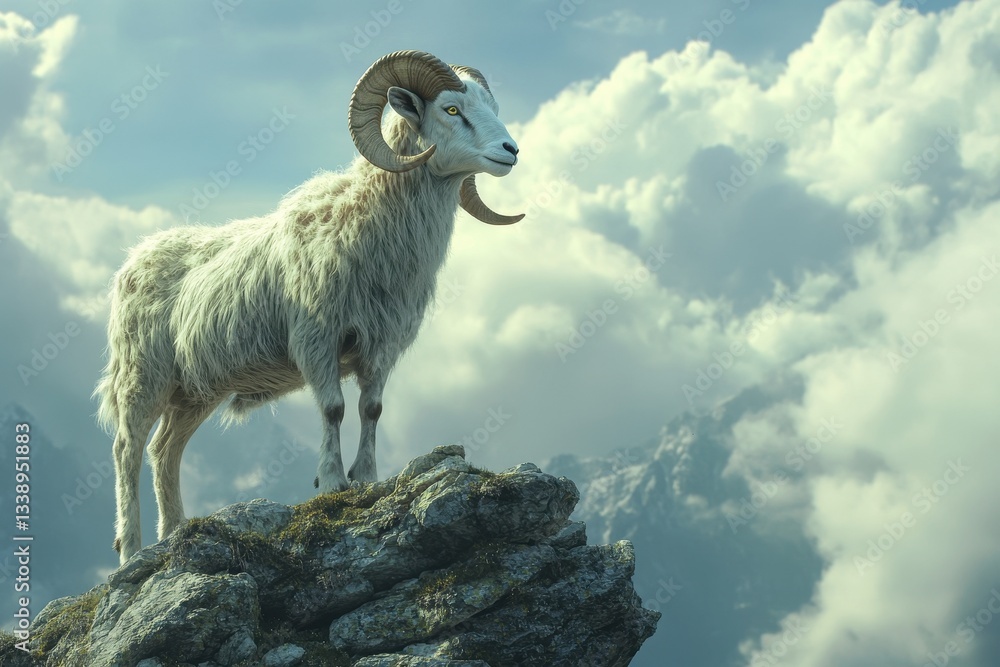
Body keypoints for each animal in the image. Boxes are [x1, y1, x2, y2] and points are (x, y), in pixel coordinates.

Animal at [95, 50, 524, 563]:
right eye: (452, 110)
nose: (511, 150)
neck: (370, 221)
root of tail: (133, 260)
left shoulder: (381, 344)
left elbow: (372, 408)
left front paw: (367, 477)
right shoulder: (318, 338)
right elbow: (335, 409)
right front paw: (333, 482)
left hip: (195, 390)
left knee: (164, 451)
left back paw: (174, 532)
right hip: (142, 377)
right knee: (127, 450)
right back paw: (130, 550)